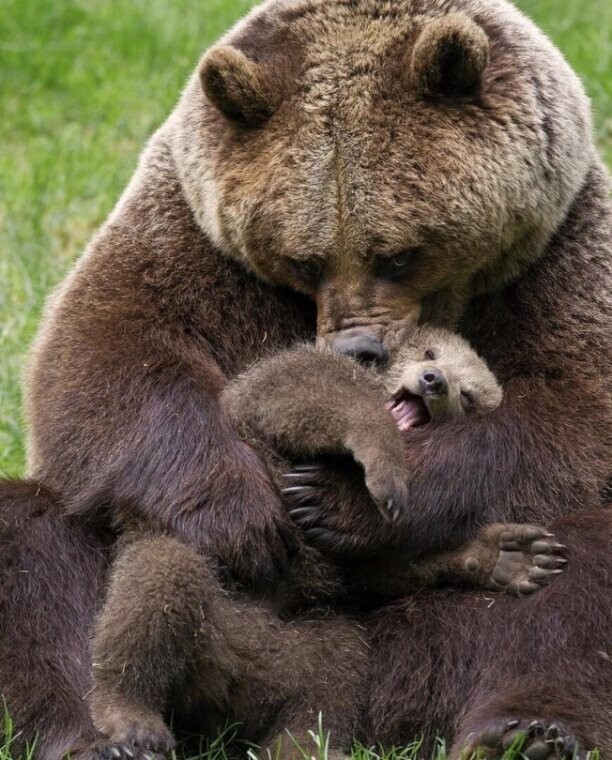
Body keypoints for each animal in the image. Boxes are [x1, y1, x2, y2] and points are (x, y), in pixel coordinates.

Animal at [1, 0, 612, 756]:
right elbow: (105, 355)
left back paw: (525, 725)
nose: (359, 347)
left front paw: (343, 501)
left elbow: (567, 414)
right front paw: (244, 515)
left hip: (388, 639)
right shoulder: (191, 235)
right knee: (38, 550)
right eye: (303, 259)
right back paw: (95, 728)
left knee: (577, 572)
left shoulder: (561, 254)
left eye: (400, 254)